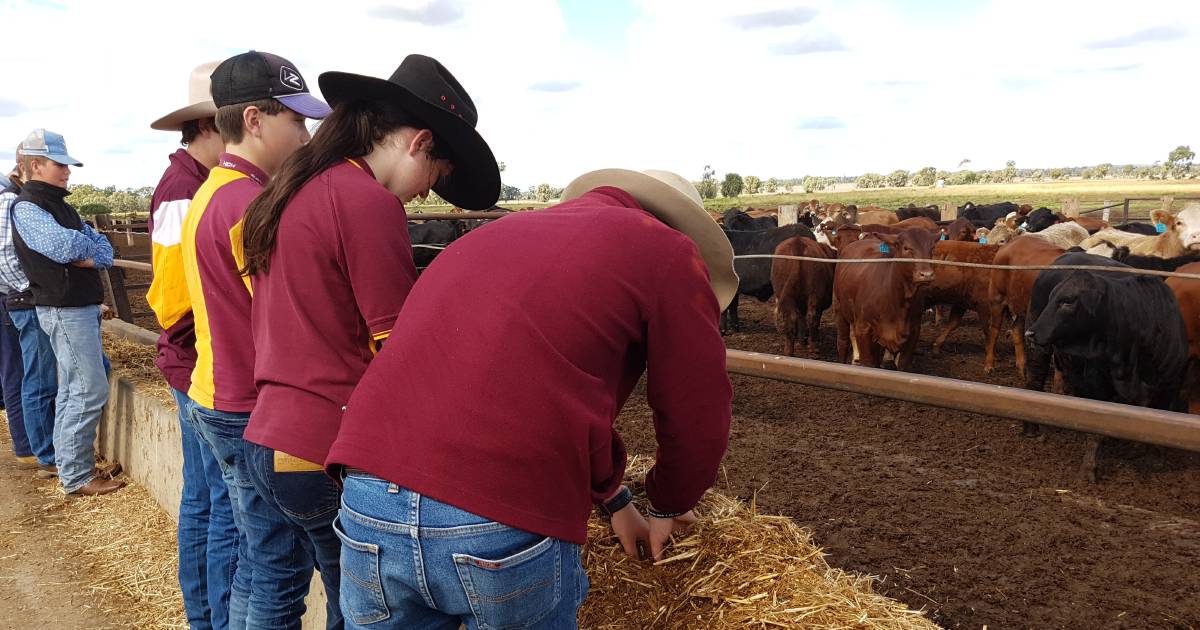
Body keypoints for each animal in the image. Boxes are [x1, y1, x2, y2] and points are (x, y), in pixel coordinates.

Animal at [835, 229, 936, 369]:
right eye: (906, 248)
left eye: (932, 249)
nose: (926, 274)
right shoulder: (863, 328)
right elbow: (869, 363)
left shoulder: (913, 332)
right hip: (840, 309)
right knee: (843, 342)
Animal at [1022, 250, 1190, 482]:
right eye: (1053, 299)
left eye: (1068, 301)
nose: (1031, 332)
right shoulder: (1096, 385)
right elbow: (1096, 426)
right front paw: (1088, 468)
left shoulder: (1171, 384)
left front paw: (1154, 458)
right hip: (1039, 347)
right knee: (1034, 380)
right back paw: (1031, 428)